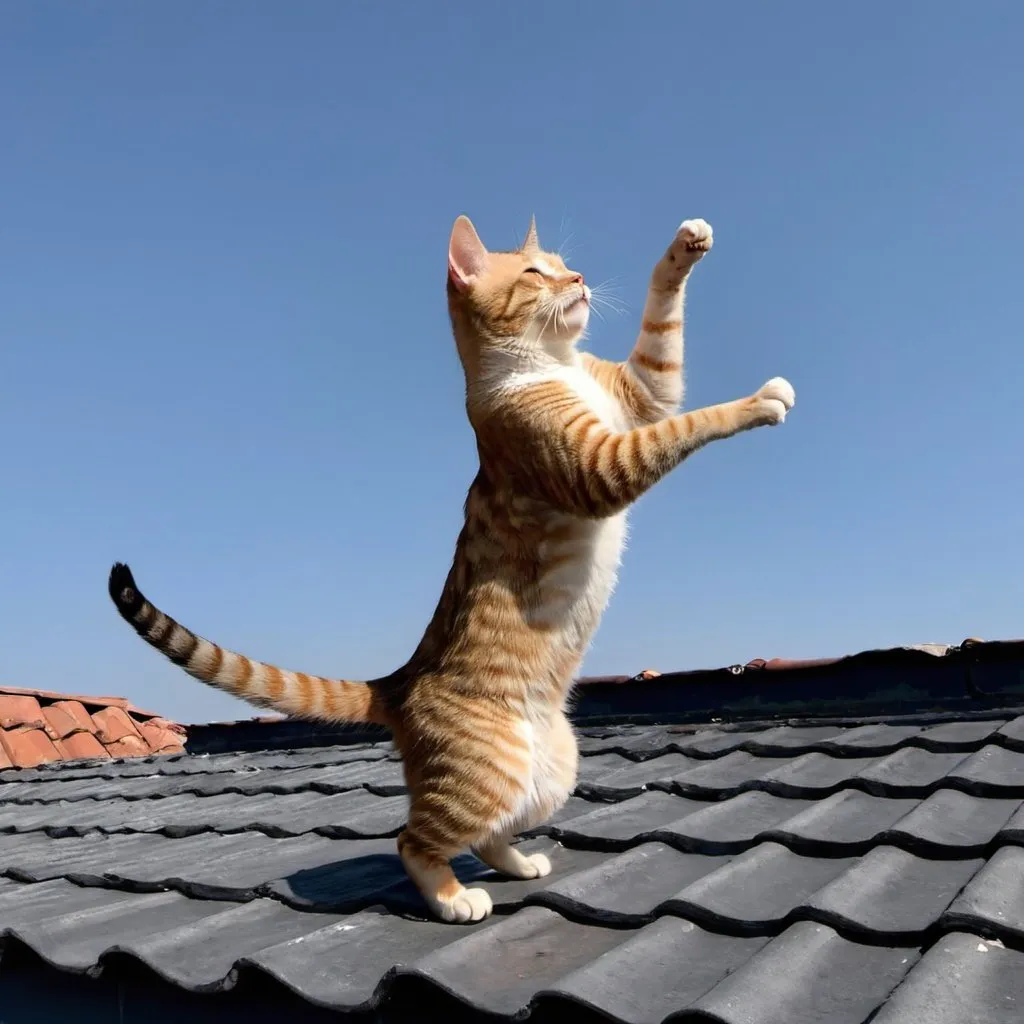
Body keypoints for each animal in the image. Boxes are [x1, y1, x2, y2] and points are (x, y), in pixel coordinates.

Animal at [114, 211, 798, 925]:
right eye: (537, 274)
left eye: (565, 265)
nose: (579, 279)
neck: (553, 363)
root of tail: (397, 680)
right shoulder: (600, 465)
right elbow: (689, 423)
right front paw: (760, 401)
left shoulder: (642, 391)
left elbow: (662, 331)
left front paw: (685, 246)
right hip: (484, 773)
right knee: (414, 839)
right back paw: (452, 898)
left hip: (553, 769)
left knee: (492, 832)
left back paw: (520, 863)